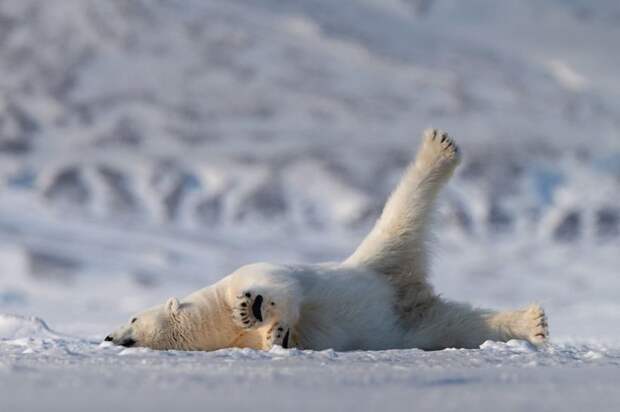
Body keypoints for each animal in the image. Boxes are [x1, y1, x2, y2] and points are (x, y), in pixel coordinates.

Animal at [105, 130, 548, 352]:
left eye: (133, 318)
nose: (109, 337)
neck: (214, 319)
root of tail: (403, 288)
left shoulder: (246, 274)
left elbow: (279, 287)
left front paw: (254, 309)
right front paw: (275, 336)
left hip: (378, 254)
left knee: (402, 210)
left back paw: (438, 147)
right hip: (413, 318)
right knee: (460, 325)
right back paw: (533, 323)